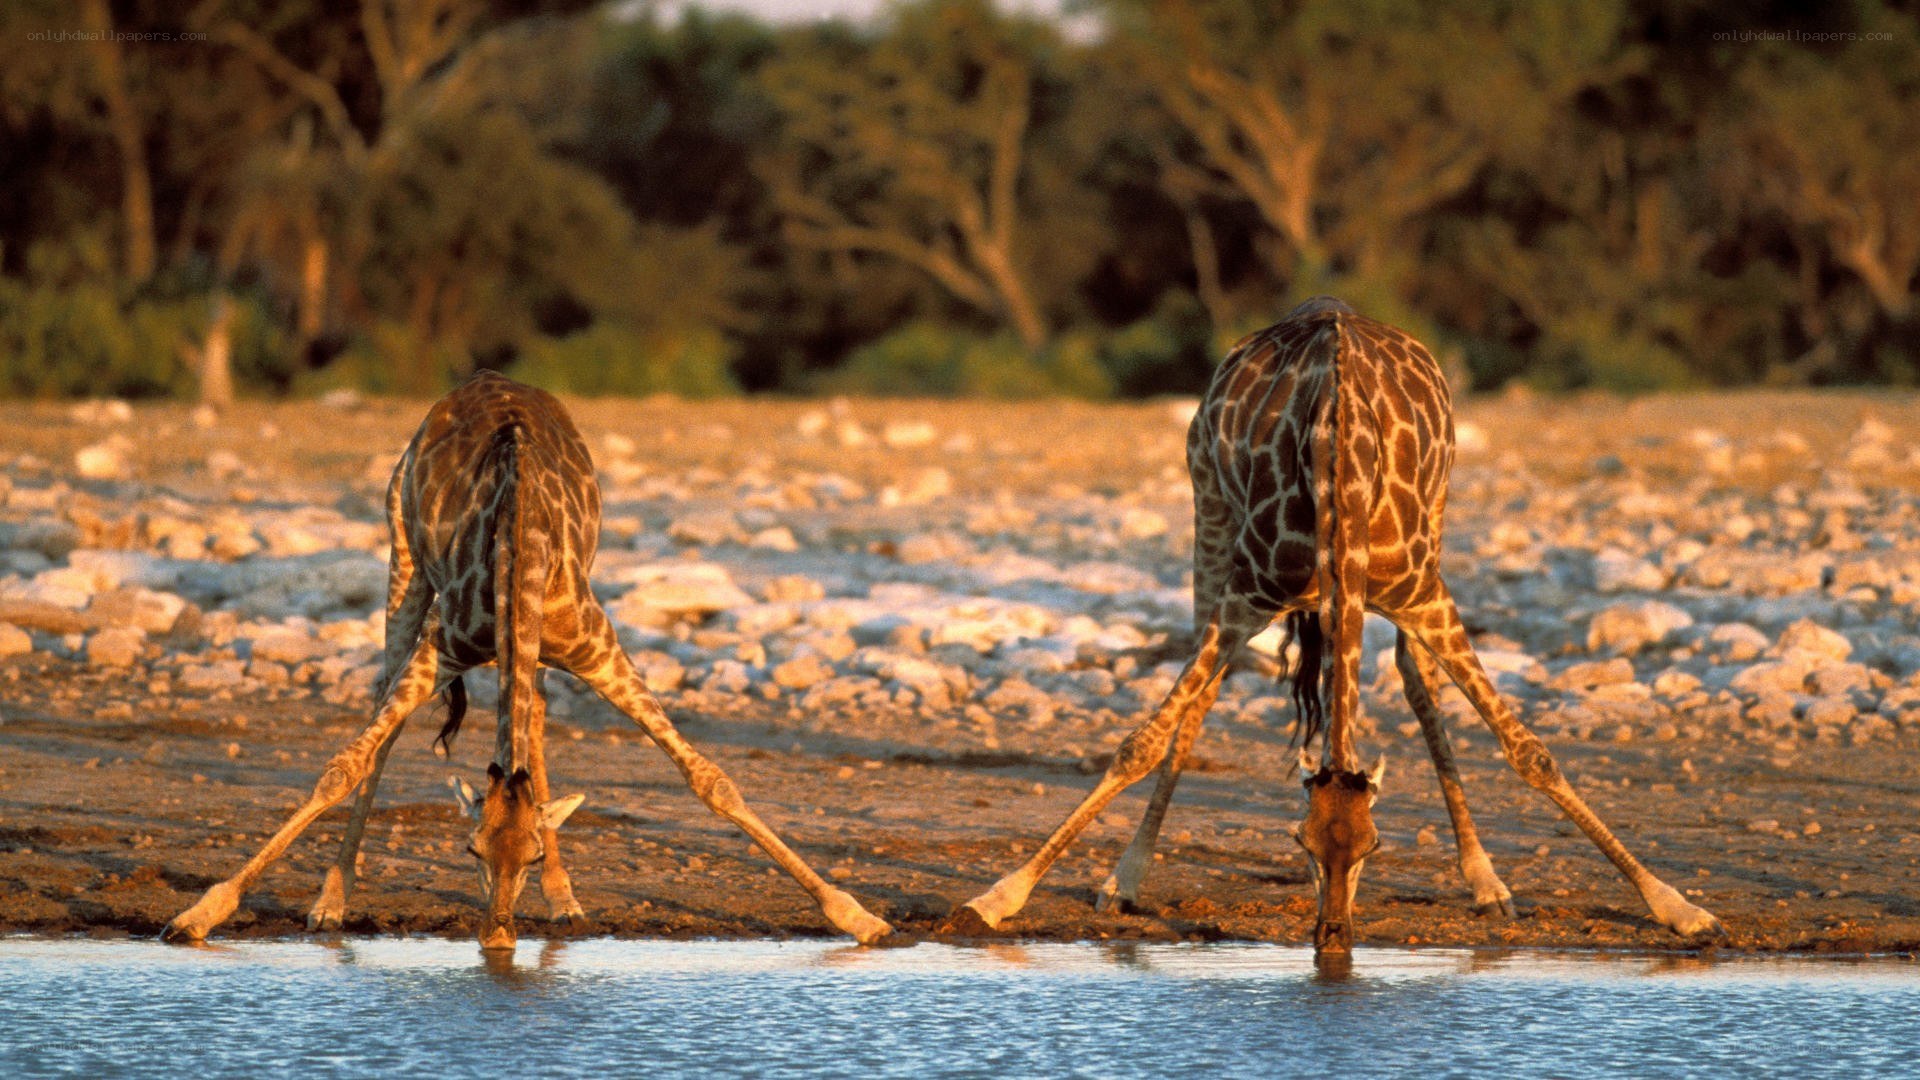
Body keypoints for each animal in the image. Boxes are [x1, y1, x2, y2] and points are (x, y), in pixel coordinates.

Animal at [163, 372, 892, 949]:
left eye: (532, 853)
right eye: (470, 849)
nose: (498, 938)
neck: (519, 548)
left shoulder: (599, 648)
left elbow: (711, 780)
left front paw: (858, 918)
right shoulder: (444, 646)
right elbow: (344, 766)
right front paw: (200, 915)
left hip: (530, 643)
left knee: (534, 720)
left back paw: (566, 901)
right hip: (403, 558)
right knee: (386, 710)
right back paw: (331, 902)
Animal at [945, 297, 1724, 953]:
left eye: (1375, 846)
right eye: (1300, 842)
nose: (1333, 939)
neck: (1340, 466)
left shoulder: (1424, 594)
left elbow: (1530, 752)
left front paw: (1679, 906)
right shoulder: (1244, 596)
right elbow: (1141, 741)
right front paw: (999, 896)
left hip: (1437, 523)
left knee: (1414, 677)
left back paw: (1486, 882)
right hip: (1209, 514)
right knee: (1201, 694)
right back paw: (1125, 878)